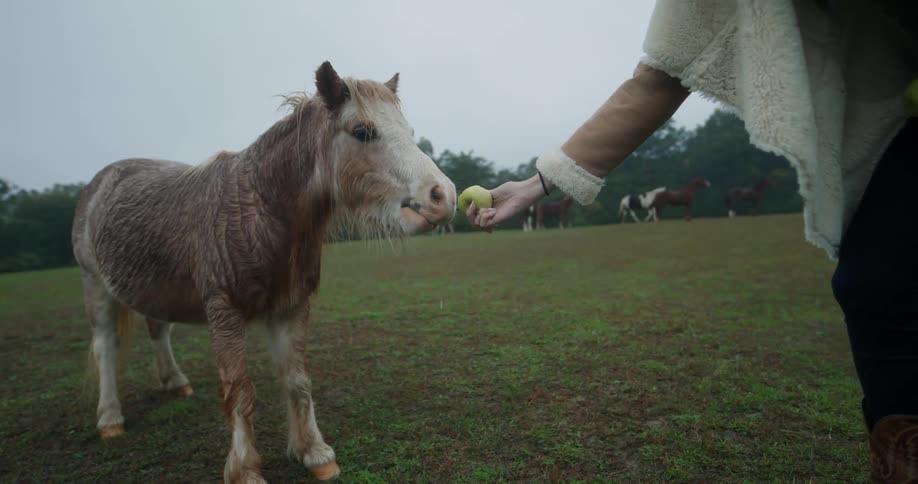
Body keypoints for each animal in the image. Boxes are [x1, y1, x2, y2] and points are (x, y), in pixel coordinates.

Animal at [71, 62, 456, 483]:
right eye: (362, 132)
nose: (444, 197)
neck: (259, 210)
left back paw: (175, 383)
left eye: (410, 133)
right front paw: (245, 469)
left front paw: (315, 453)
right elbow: (240, 390)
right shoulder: (223, 312)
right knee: (105, 347)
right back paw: (110, 418)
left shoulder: (291, 307)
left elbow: (297, 381)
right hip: (96, 287)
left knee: (158, 330)